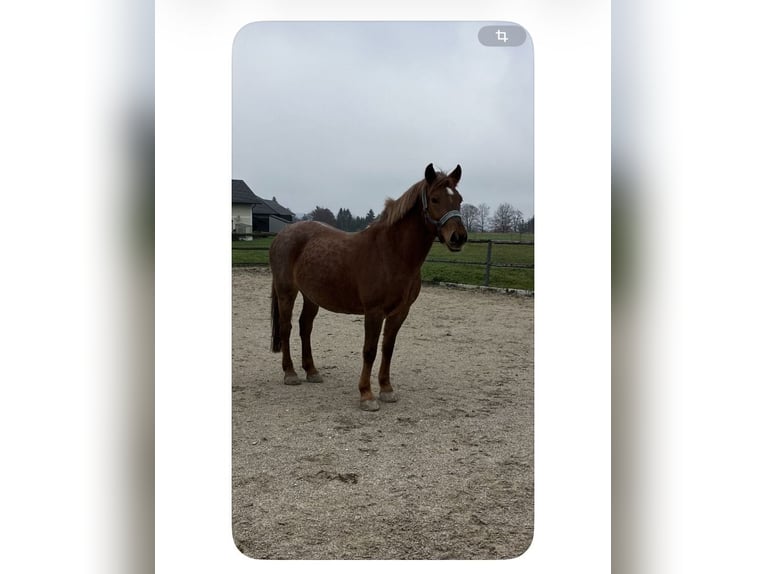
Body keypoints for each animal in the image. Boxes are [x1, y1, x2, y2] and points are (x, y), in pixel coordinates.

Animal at [269, 163, 467, 411]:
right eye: (435, 199)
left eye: (459, 199)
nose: (458, 237)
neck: (392, 253)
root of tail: (282, 235)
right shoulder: (374, 311)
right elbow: (369, 351)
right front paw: (366, 395)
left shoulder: (400, 312)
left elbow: (387, 349)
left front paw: (387, 389)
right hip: (287, 292)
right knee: (286, 328)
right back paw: (290, 373)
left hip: (311, 296)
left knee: (305, 327)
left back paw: (312, 371)